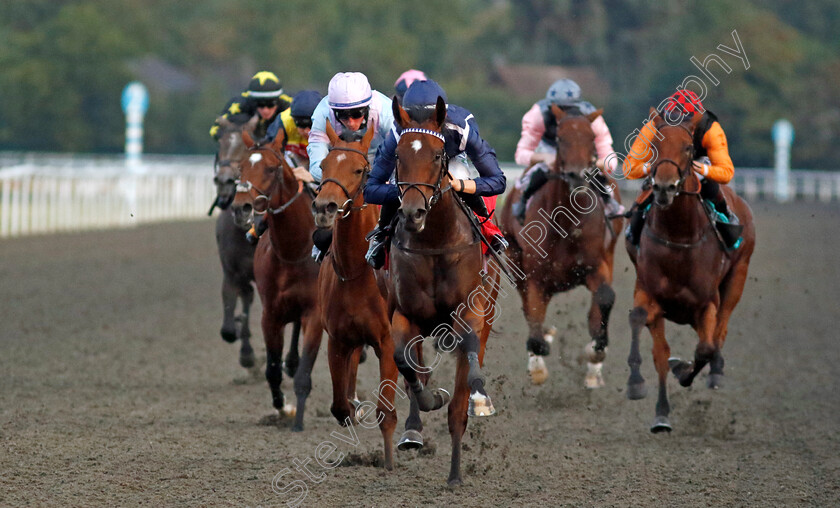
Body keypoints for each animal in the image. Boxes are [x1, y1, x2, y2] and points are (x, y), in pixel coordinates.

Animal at [233, 129, 324, 430]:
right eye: (241, 167)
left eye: (272, 169)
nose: (241, 208)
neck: (293, 250)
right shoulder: (271, 313)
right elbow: (272, 370)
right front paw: (283, 408)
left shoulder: (315, 314)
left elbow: (305, 372)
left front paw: (299, 421)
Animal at [310, 121, 402, 470]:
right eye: (323, 165)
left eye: (359, 169)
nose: (325, 207)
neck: (356, 270)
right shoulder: (338, 339)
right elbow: (340, 406)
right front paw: (353, 408)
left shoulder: (388, 343)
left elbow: (386, 412)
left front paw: (388, 465)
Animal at [388, 95, 498, 484]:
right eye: (398, 156)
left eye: (438, 155)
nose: (412, 213)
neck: (435, 241)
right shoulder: (404, 314)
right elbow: (404, 361)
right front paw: (429, 401)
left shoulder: (470, 312)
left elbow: (468, 370)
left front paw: (479, 399)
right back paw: (412, 430)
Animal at [498, 105, 624, 386]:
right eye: (559, 138)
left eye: (591, 138)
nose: (577, 175)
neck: (568, 223)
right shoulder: (535, 276)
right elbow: (533, 319)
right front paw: (539, 355)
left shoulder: (596, 265)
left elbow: (605, 298)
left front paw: (596, 350)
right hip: (515, 259)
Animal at [624, 109, 756, 430]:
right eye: (654, 145)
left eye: (687, 148)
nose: (663, 187)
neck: (679, 237)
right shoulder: (650, 294)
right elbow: (653, 342)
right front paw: (648, 396)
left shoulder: (706, 302)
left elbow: (704, 349)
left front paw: (685, 372)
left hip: (737, 277)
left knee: (719, 333)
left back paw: (715, 371)